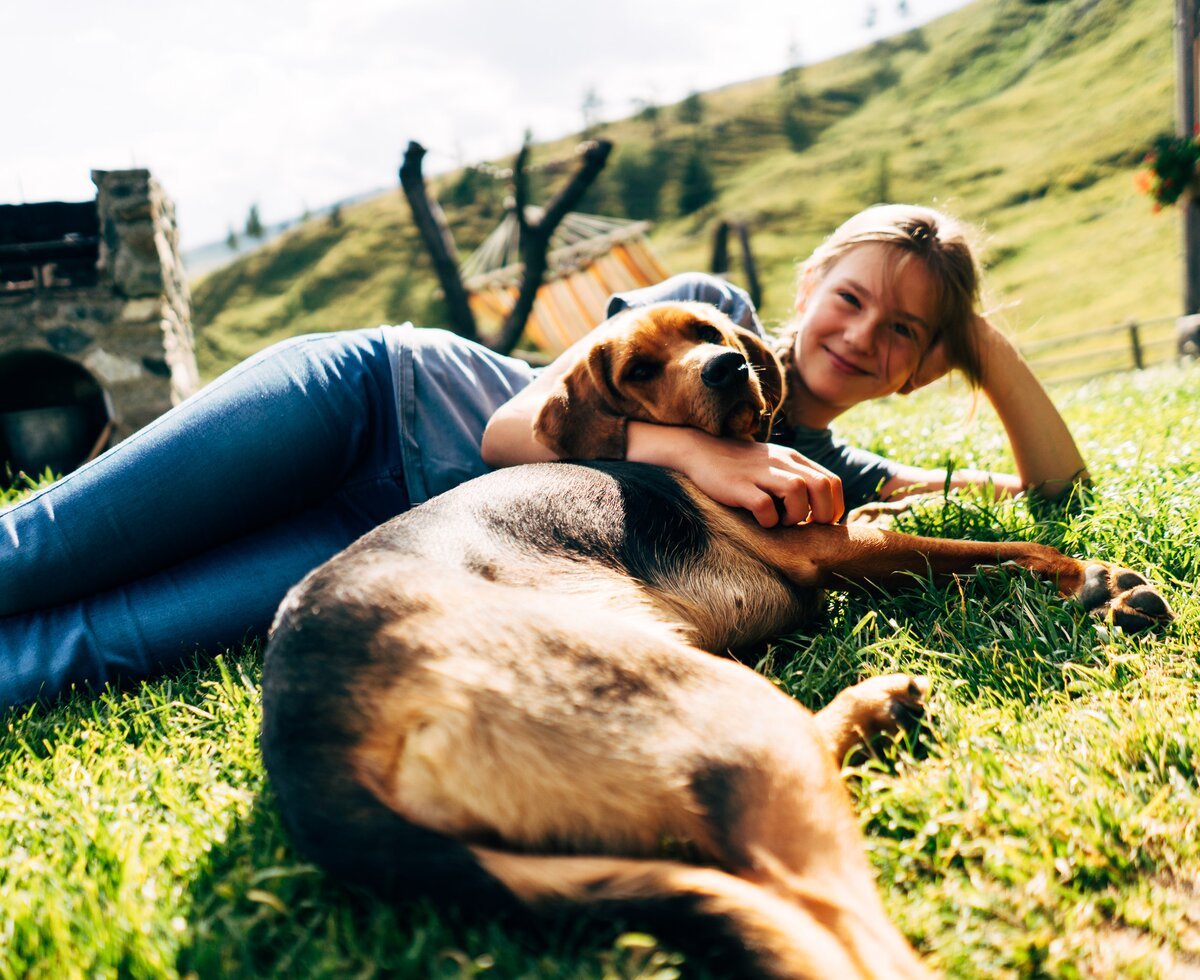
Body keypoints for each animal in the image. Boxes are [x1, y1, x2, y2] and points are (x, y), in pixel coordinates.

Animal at [262, 302, 1171, 974]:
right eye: (636, 369)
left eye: (709, 333)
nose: (728, 367)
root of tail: (310, 742)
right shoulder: (837, 552)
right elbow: (996, 548)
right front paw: (1100, 580)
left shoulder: (849, 537)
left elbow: (919, 514)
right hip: (721, 706)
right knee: (841, 937)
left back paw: (878, 710)